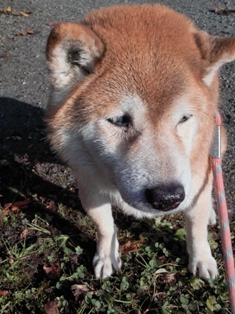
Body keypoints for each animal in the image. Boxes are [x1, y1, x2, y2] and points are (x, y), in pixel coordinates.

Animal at [45, 4, 235, 280]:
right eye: (118, 120)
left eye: (184, 118)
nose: (168, 198)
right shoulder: (90, 185)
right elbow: (104, 226)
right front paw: (107, 256)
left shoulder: (197, 173)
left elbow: (197, 228)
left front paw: (201, 259)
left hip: (216, 142)